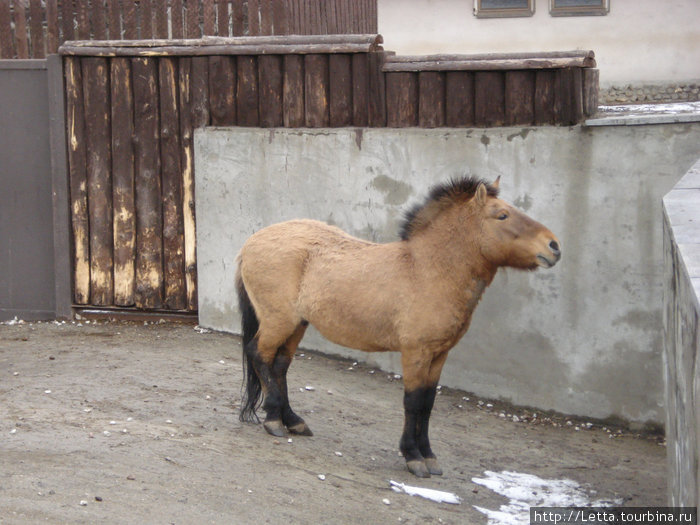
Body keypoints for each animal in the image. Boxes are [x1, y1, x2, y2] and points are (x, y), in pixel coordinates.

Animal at [238, 176, 560, 474]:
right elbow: (413, 401)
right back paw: (273, 419)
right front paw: (413, 456)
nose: (554, 246)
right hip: (279, 321)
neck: (427, 271)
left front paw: (429, 455)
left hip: (297, 324)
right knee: (258, 354)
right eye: (502, 215)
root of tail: (251, 242)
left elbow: (428, 403)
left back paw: (292, 420)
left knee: (279, 365)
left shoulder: (439, 354)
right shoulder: (415, 353)